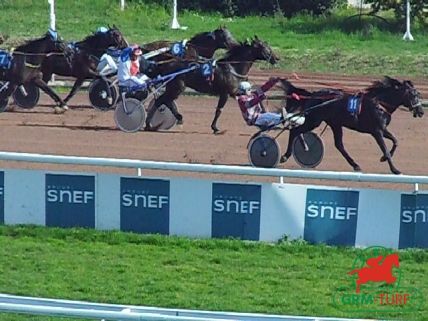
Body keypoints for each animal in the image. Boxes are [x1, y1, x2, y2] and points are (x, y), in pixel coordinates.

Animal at [144, 36, 280, 132]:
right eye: (265, 47)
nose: (276, 58)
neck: (233, 67)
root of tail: (168, 64)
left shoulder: (235, 91)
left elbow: (255, 97)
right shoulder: (225, 93)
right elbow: (219, 110)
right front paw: (215, 127)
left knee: (162, 101)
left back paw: (153, 123)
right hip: (177, 87)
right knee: (162, 100)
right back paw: (162, 121)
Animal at [280, 76, 422, 174]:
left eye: (418, 94)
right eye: (413, 94)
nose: (421, 111)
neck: (379, 104)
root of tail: (313, 94)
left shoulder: (382, 129)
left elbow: (395, 141)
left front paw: (383, 159)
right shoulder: (377, 131)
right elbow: (385, 149)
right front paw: (395, 169)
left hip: (335, 124)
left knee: (339, 145)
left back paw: (355, 165)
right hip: (314, 120)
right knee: (295, 131)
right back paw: (285, 156)